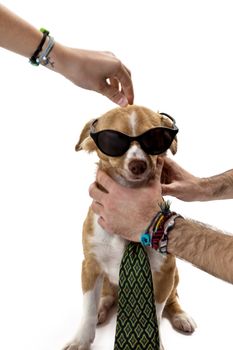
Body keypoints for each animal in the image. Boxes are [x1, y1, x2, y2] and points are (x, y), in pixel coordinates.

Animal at [63, 105, 197, 350]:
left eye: (156, 138)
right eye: (112, 141)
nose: (138, 164)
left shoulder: (164, 272)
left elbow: (157, 312)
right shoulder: (90, 266)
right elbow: (87, 309)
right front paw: (80, 340)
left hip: (175, 275)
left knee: (174, 298)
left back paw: (181, 316)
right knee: (106, 296)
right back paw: (102, 308)